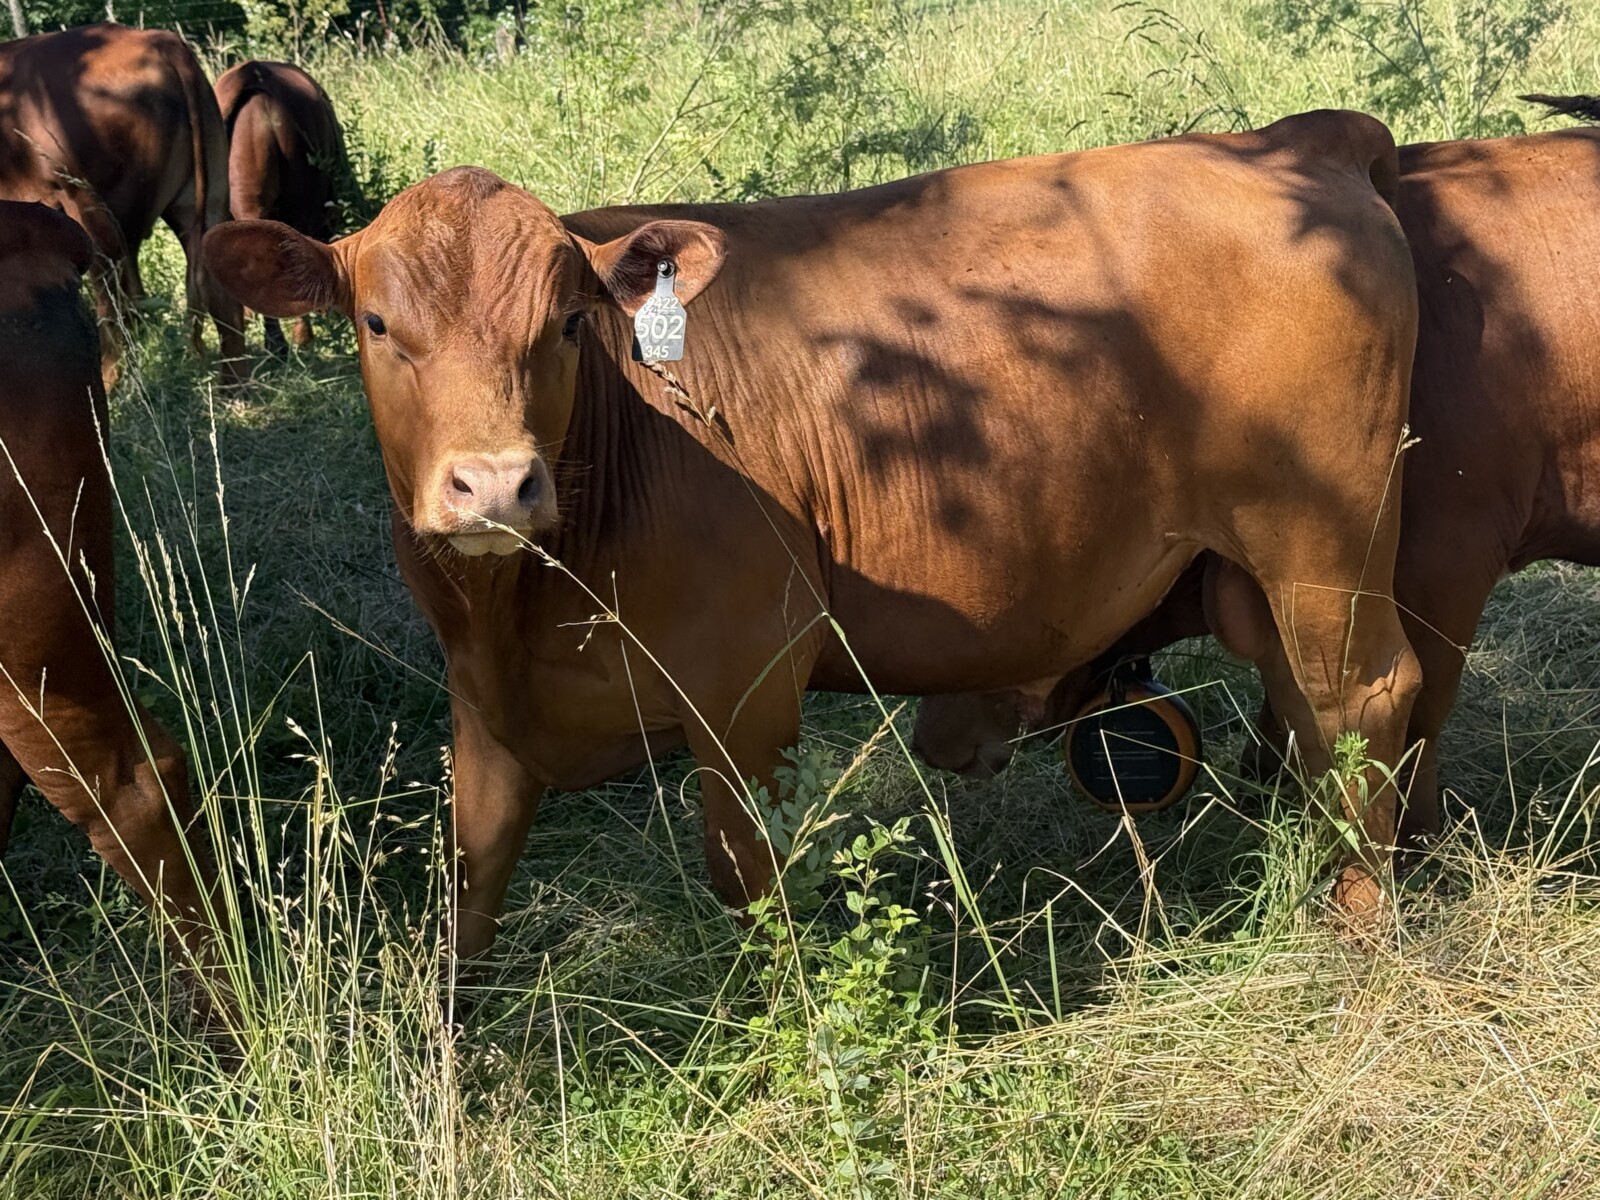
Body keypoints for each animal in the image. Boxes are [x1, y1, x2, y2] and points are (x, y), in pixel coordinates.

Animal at [0, 24, 245, 386]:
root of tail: (159, 40)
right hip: (207, 195)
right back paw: (235, 386)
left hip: (88, 205)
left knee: (113, 297)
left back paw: (109, 380)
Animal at [204, 108, 1421, 968]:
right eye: (376, 324)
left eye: (565, 324)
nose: (496, 483)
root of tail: (1288, 140)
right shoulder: (484, 713)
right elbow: (471, 890)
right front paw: (460, 1072)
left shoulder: (747, 697)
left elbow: (748, 883)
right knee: (1307, 710)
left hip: (1324, 543)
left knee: (1362, 697)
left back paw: (1358, 920)